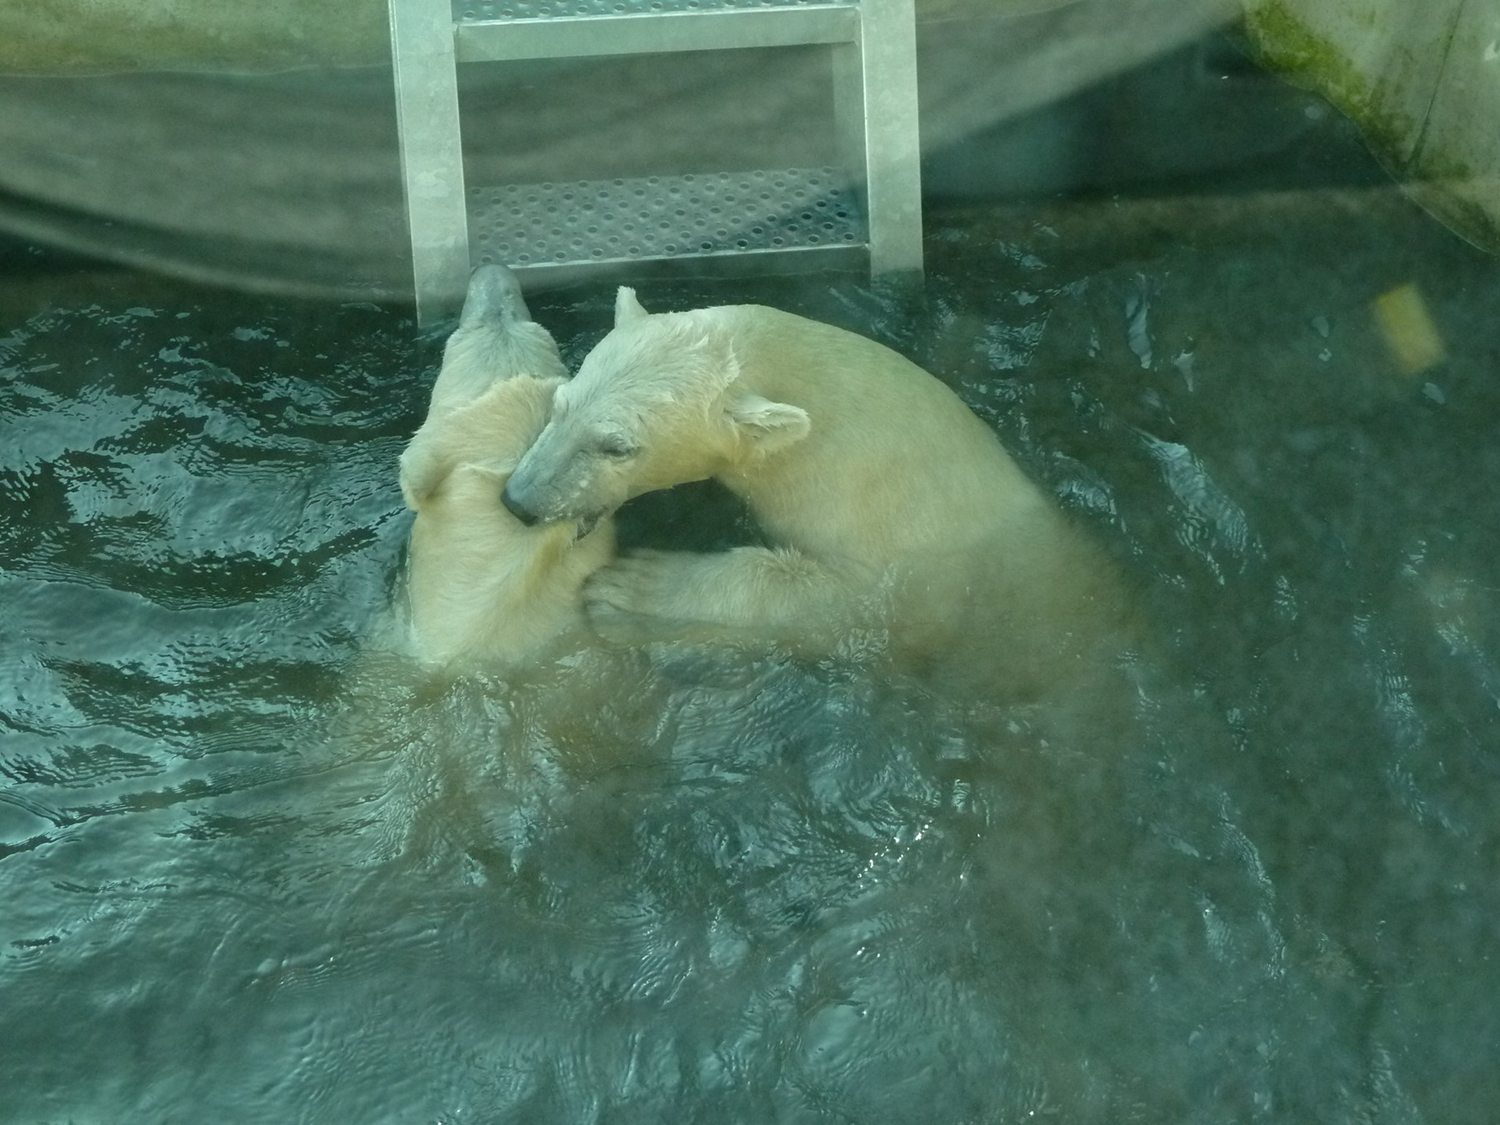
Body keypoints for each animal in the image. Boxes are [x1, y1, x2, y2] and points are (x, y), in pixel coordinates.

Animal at [499, 287, 1133, 705]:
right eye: (560, 403)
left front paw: (632, 587)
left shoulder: (900, 552)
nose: (519, 499)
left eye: (617, 446)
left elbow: (837, 602)